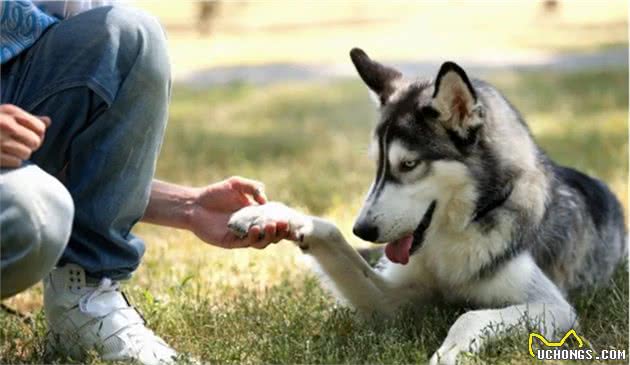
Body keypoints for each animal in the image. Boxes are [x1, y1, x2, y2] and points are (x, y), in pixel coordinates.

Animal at [230, 49, 628, 364]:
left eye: (408, 164)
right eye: (377, 165)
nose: (363, 229)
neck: (458, 233)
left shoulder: (555, 308)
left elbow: (470, 316)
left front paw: (450, 351)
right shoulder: (392, 301)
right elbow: (331, 233)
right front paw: (272, 214)